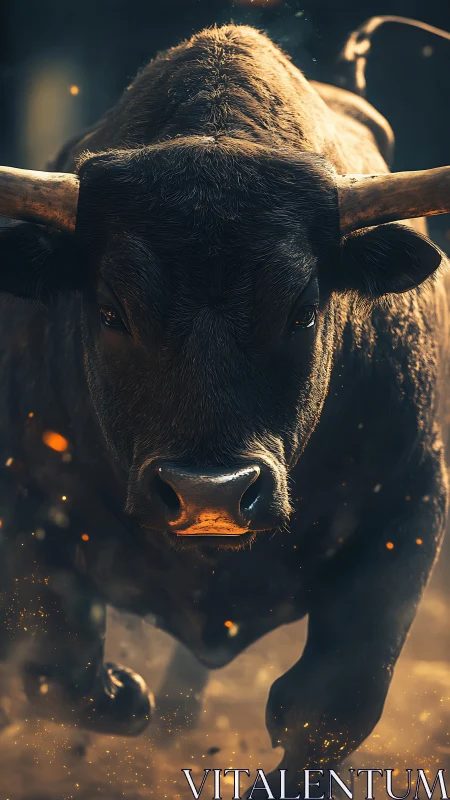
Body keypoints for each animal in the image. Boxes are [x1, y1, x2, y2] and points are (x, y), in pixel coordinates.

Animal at [0, 22, 449, 793]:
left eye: (303, 311)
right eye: (112, 312)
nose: (207, 495)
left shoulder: (410, 502)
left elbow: (336, 699)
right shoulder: (24, 495)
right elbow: (57, 668)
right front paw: (125, 696)